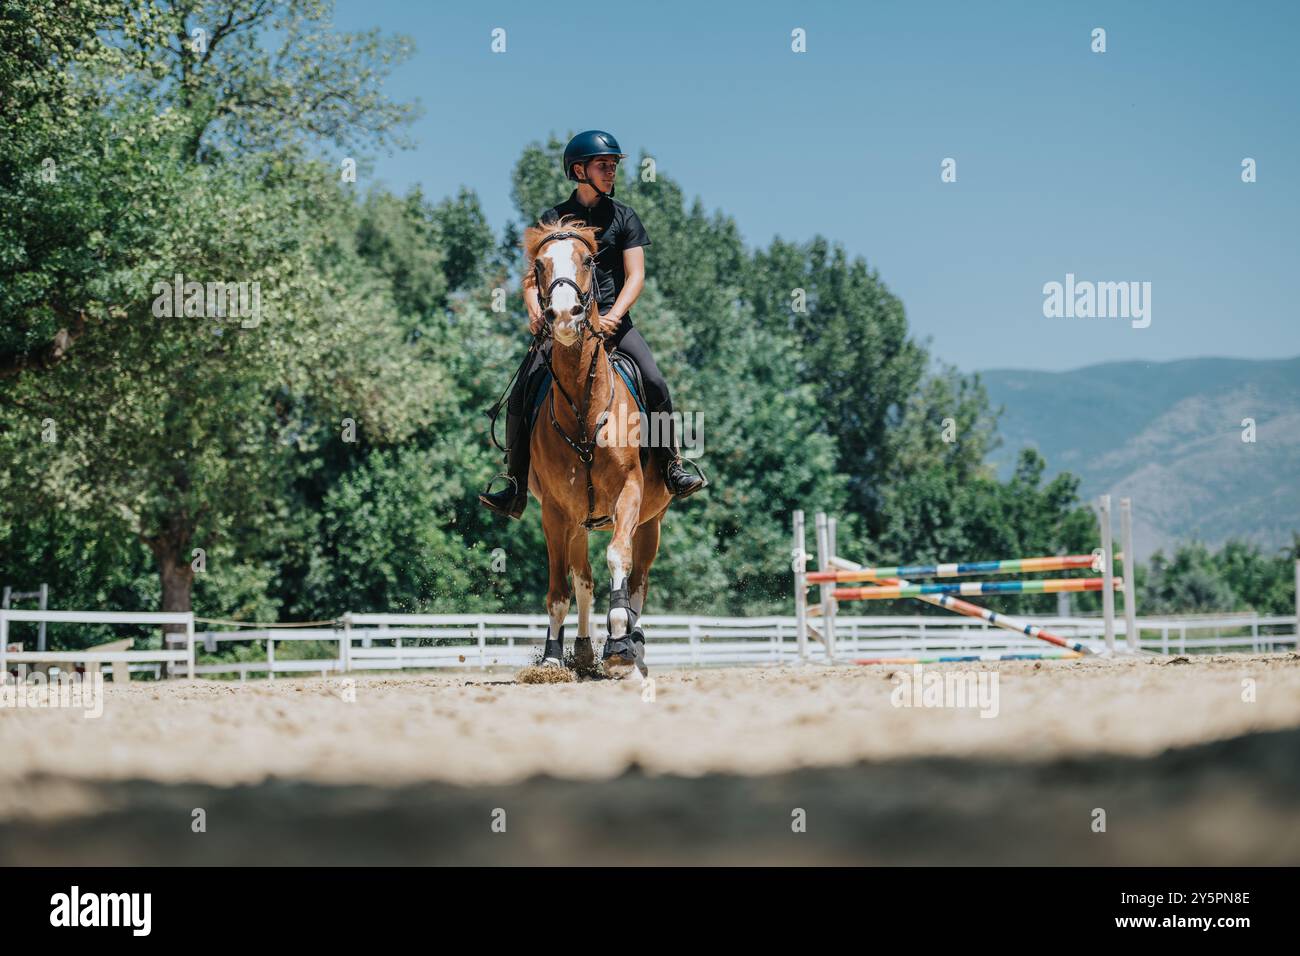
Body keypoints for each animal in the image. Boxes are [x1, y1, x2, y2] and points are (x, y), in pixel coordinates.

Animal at [523, 217, 673, 679]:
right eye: (539, 265)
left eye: (588, 260)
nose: (563, 316)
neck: (585, 411)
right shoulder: (555, 513)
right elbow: (561, 589)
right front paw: (553, 658)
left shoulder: (629, 494)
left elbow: (618, 559)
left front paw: (621, 643)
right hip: (578, 523)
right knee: (583, 579)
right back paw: (586, 650)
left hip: (651, 521)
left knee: (638, 579)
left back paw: (632, 644)